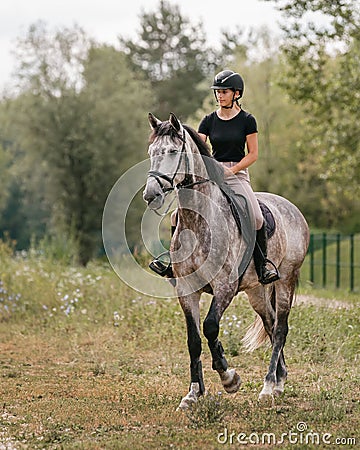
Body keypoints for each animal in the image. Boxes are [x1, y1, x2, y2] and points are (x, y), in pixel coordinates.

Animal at [143, 113, 310, 412]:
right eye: (151, 152)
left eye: (172, 152)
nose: (151, 195)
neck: (198, 222)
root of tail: (292, 208)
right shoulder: (186, 289)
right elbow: (194, 339)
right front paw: (193, 394)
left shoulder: (225, 287)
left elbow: (210, 327)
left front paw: (229, 378)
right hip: (257, 290)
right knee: (270, 324)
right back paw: (279, 381)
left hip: (287, 279)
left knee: (280, 328)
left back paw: (268, 387)